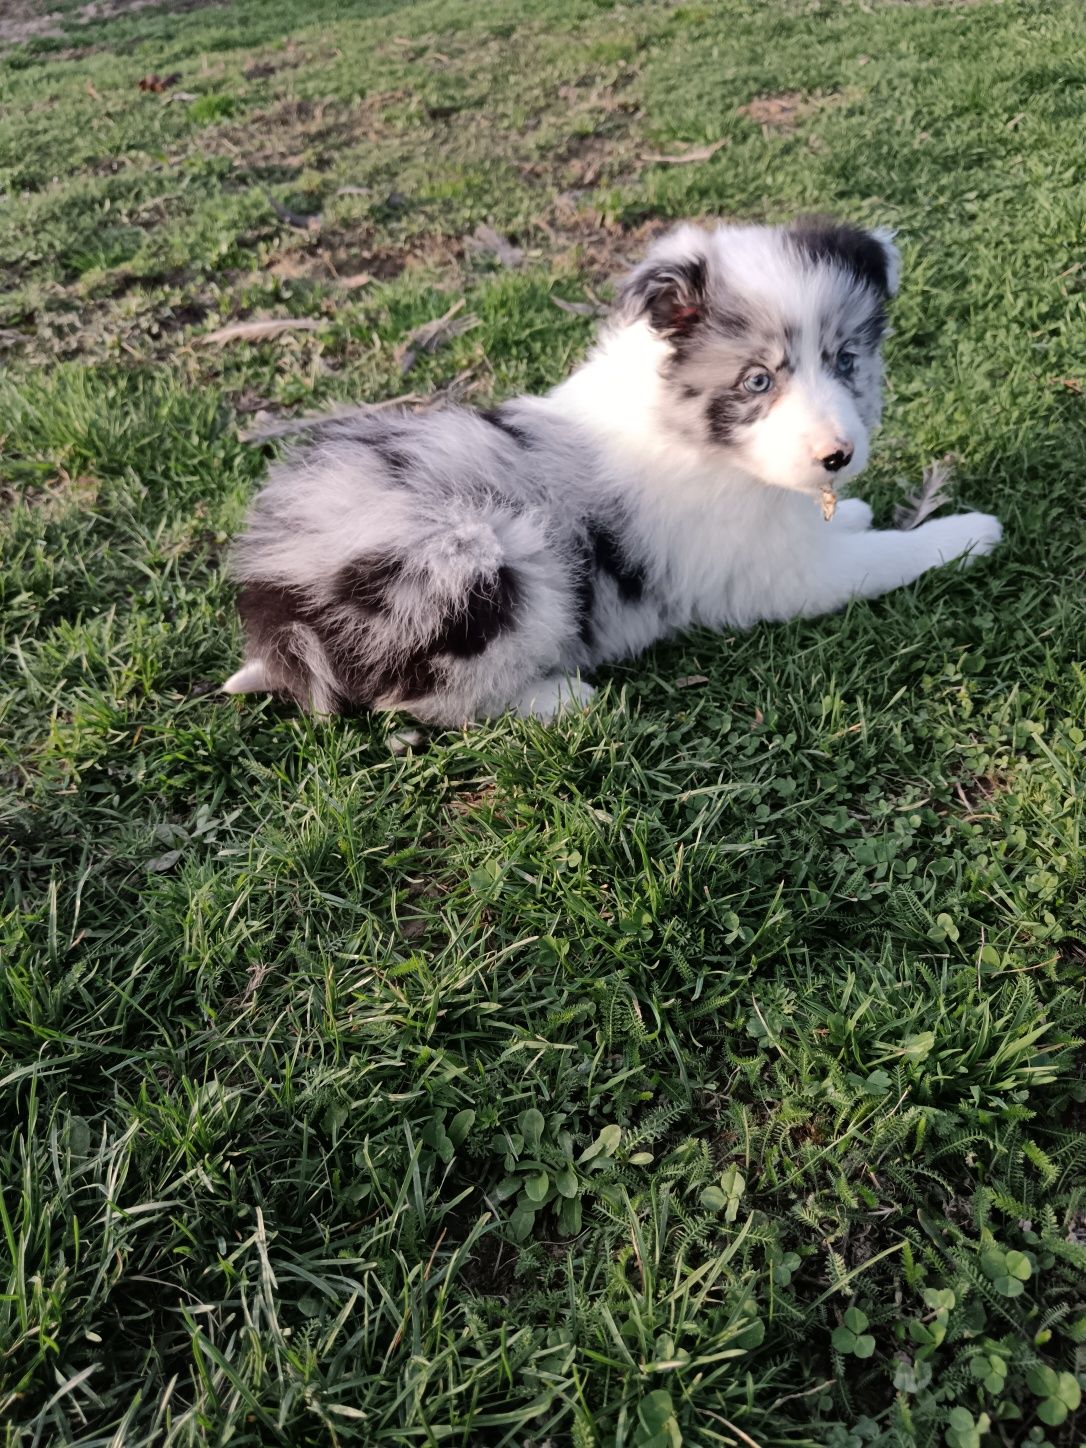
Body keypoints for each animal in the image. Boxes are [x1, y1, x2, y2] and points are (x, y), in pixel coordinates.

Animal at [225, 215, 1007, 724]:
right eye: (757, 381)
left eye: (846, 361)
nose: (838, 456)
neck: (697, 438)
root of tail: (281, 610)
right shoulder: (778, 580)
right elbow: (884, 557)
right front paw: (967, 533)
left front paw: (853, 509)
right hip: (480, 552)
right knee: (418, 701)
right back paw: (556, 698)